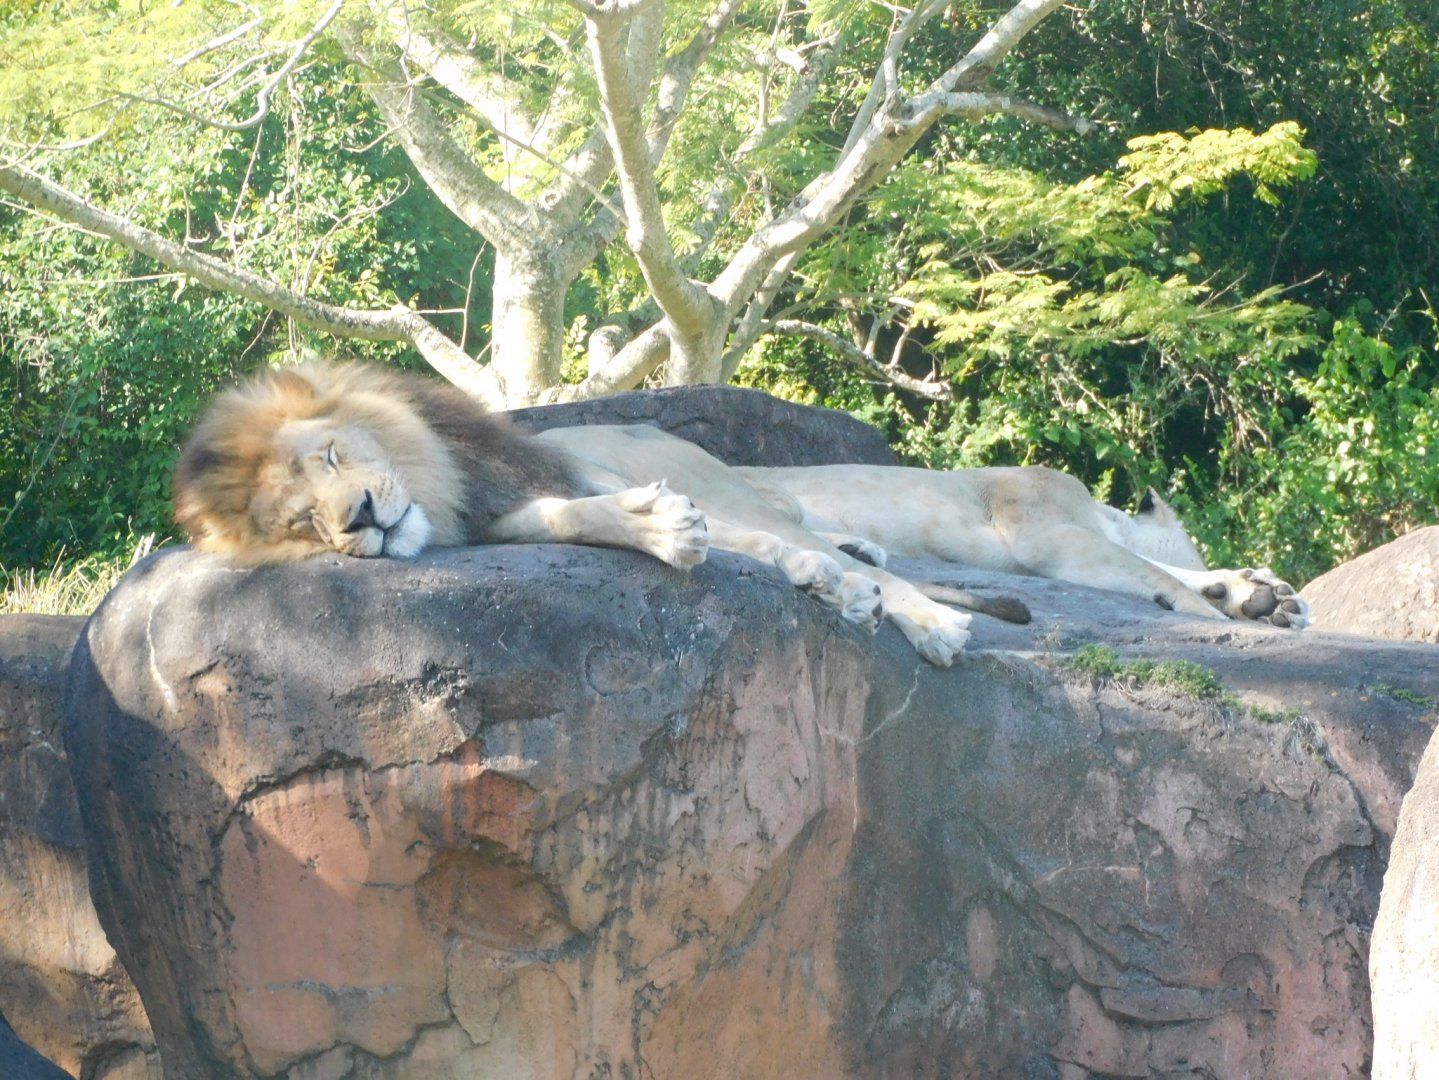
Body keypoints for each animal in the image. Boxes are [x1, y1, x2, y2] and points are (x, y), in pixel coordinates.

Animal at [172, 361, 996, 667]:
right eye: (302, 524)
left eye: (333, 455)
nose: (362, 518)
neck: (445, 485)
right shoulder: (510, 513)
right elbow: (576, 520)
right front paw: (657, 529)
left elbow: (759, 544)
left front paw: (848, 588)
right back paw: (859, 558)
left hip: (708, 474)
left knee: (787, 523)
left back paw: (917, 610)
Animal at [732, 463, 1311, 628]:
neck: (1103, 516)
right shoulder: (1039, 525)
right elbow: (1153, 568)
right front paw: (1215, 609)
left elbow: (1147, 565)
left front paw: (1266, 597)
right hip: (773, 491)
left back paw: (862, 551)